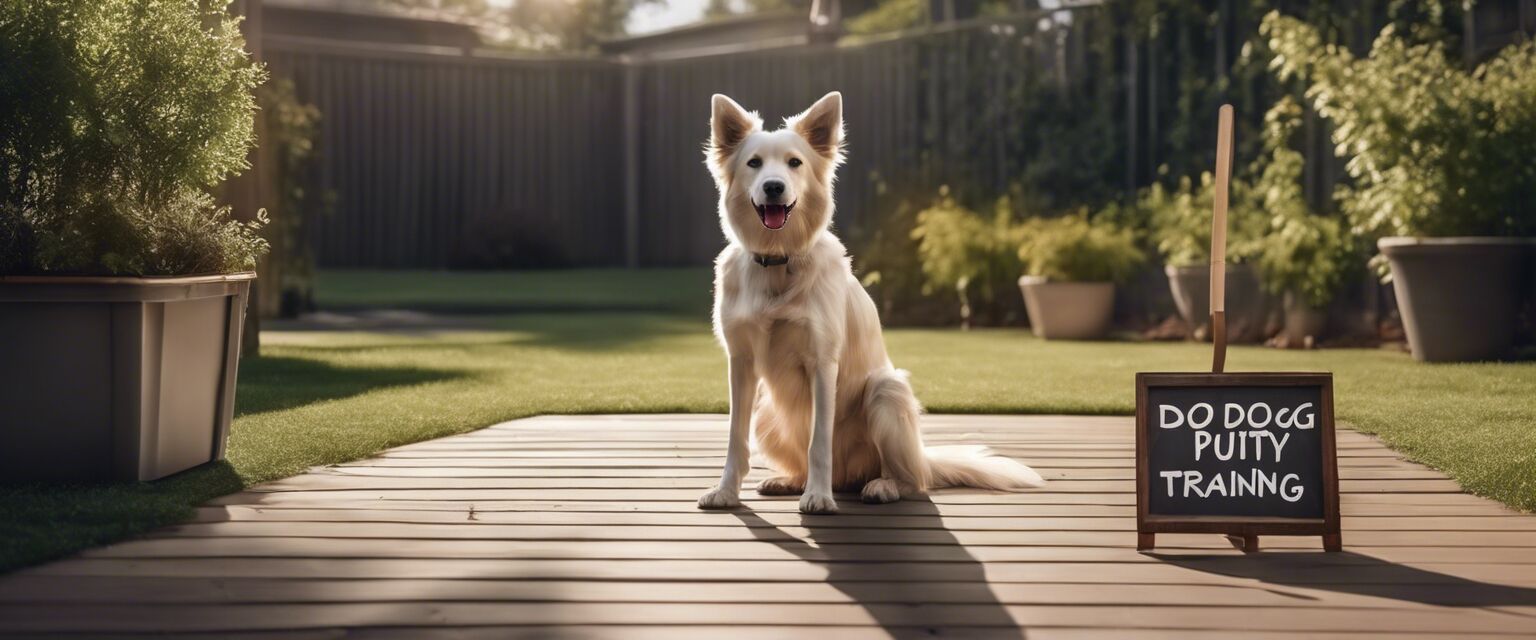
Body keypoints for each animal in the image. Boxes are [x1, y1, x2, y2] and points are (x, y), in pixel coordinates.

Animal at [697, 90, 1044, 512]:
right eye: (754, 163)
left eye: (795, 162)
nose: (774, 187)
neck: (779, 261)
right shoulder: (741, 362)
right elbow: (735, 438)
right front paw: (727, 492)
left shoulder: (822, 362)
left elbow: (819, 441)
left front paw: (818, 497)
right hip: (767, 411)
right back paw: (790, 481)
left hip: (886, 391)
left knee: (913, 480)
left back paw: (881, 485)